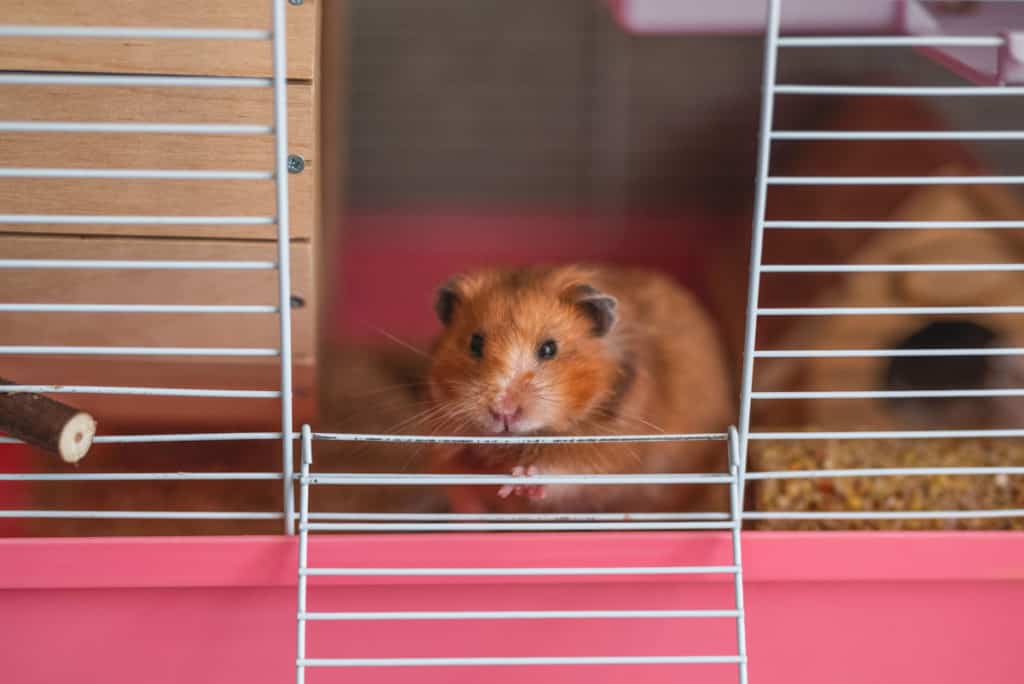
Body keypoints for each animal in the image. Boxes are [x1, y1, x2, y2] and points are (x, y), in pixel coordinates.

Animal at [425, 264, 734, 514]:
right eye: (475, 344)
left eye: (549, 349)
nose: (503, 412)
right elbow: (453, 472)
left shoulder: (611, 447)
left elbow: (566, 470)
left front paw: (519, 481)